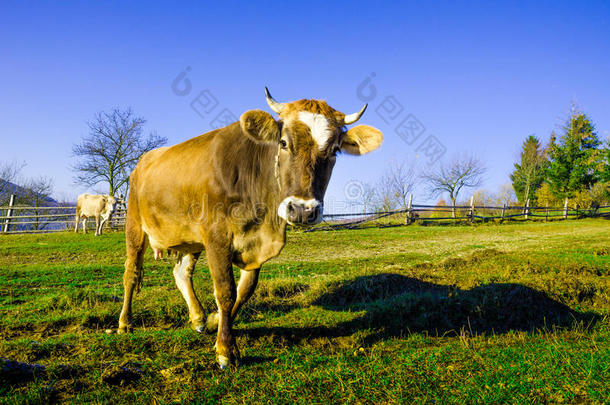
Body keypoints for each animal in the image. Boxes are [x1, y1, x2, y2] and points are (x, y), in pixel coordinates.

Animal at [117, 88, 382, 366]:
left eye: (334, 150)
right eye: (283, 143)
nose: (302, 210)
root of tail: (144, 159)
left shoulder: (255, 245)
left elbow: (244, 291)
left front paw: (215, 323)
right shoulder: (217, 237)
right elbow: (225, 291)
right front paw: (226, 349)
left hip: (190, 238)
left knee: (181, 273)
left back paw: (198, 317)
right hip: (134, 225)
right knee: (131, 273)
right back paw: (125, 323)